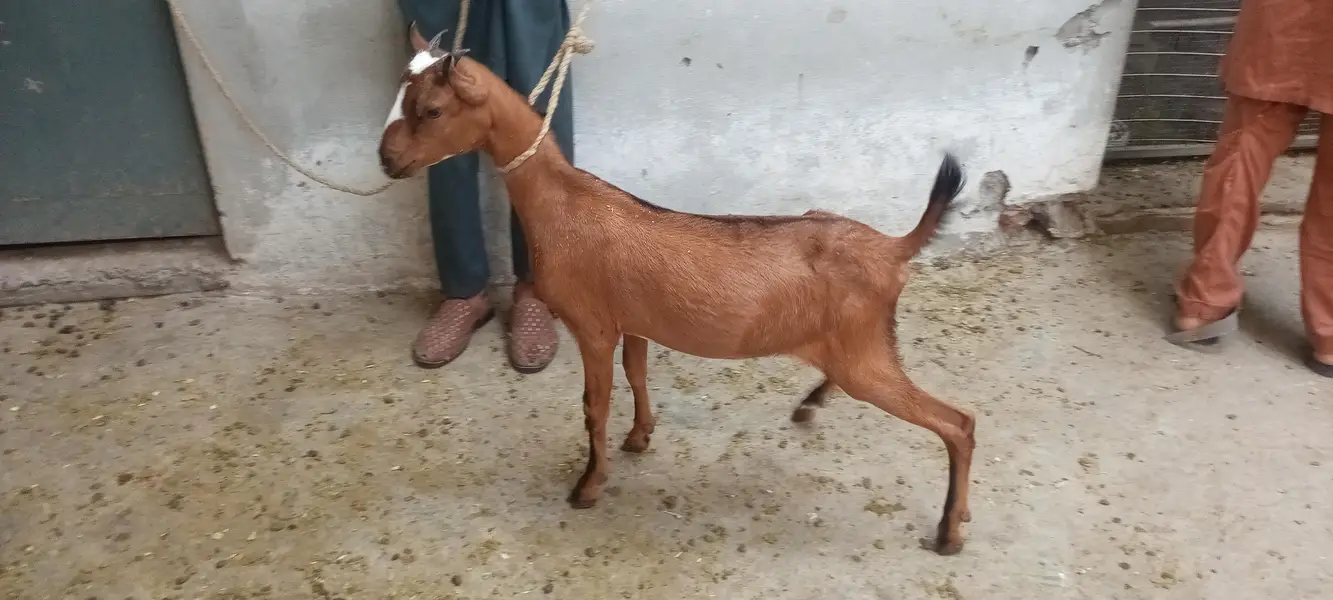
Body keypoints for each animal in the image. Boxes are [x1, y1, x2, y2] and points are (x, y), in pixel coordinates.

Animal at [379, 52, 976, 555]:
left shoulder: (591, 324)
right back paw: (816, 406)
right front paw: (640, 436)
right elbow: (637, 374)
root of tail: (893, 247)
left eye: (431, 109)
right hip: (857, 343)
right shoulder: (634, 320)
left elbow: (594, 405)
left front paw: (588, 486)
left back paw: (949, 530)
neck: (564, 203)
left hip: (864, 354)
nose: (388, 160)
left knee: (959, 423)